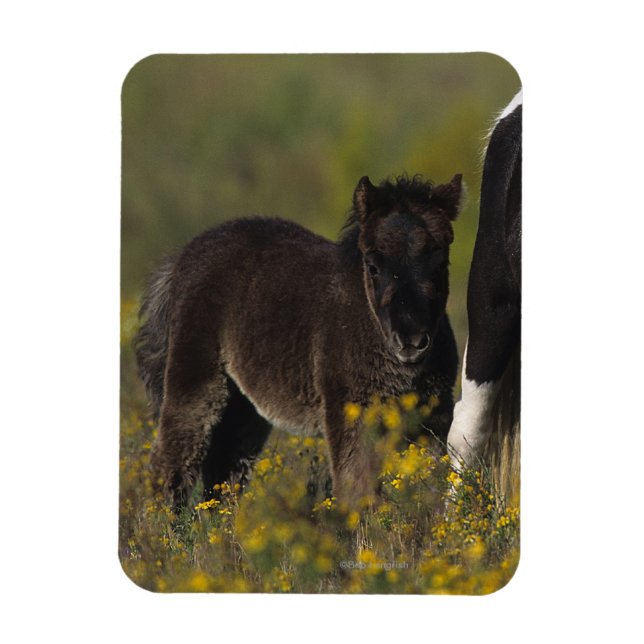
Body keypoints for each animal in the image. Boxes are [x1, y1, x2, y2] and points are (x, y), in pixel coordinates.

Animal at [135, 173, 463, 509]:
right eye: (373, 267)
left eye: (441, 264)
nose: (411, 339)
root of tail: (182, 258)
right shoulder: (348, 412)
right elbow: (356, 488)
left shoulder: (432, 415)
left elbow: (432, 483)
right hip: (195, 378)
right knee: (172, 460)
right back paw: (166, 523)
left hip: (244, 406)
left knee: (224, 471)